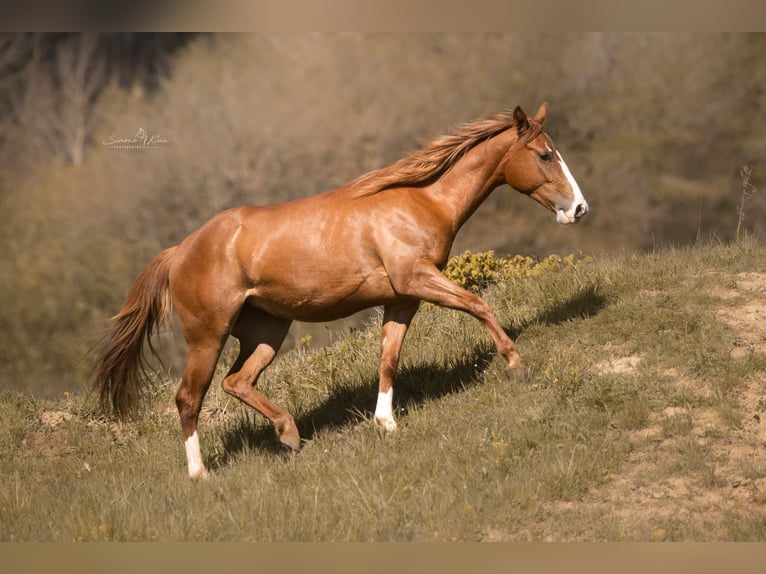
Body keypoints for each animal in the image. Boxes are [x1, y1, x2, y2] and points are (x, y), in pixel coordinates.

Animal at [94, 104, 588, 482]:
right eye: (545, 155)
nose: (579, 209)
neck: (420, 202)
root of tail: (179, 250)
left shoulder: (402, 299)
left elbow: (388, 358)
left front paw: (385, 423)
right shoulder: (417, 279)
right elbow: (477, 304)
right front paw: (517, 365)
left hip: (266, 331)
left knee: (238, 382)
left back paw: (289, 434)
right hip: (207, 336)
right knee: (188, 398)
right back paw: (200, 474)